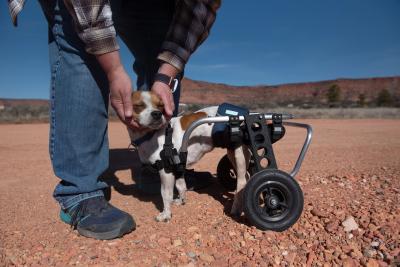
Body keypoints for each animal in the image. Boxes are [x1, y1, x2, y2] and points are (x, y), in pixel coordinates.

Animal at [128, 91, 250, 222]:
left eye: (160, 106)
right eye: (139, 105)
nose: (157, 114)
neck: (151, 135)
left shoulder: (166, 171)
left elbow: (166, 195)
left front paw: (166, 214)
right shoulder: (178, 167)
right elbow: (181, 186)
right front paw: (181, 201)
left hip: (237, 154)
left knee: (242, 182)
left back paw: (236, 208)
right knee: (247, 177)